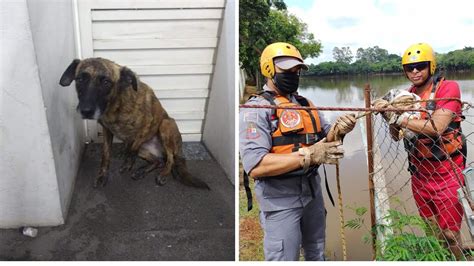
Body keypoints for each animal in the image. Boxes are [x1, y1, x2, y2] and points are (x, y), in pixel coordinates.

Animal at [58, 57, 209, 189]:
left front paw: (127, 164)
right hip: (145, 150)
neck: (114, 106)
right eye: (80, 79)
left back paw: (163, 174)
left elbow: (132, 149)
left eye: (106, 82)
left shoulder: (147, 125)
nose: (86, 111)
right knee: (159, 161)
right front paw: (102, 176)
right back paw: (142, 170)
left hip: (165, 125)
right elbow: (106, 155)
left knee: (170, 159)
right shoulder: (107, 130)